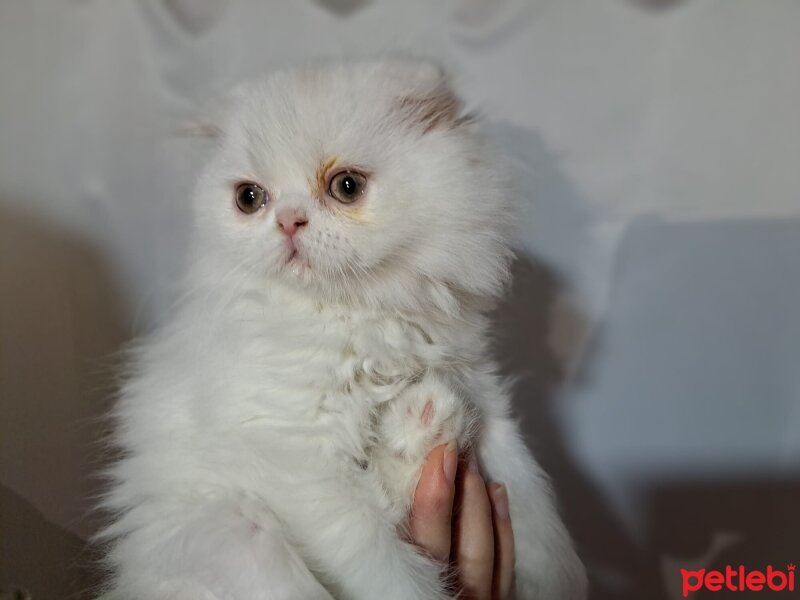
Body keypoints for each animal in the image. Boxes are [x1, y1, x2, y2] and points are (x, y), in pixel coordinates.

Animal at [100, 59, 588, 600]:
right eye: (250, 199)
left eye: (346, 187)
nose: (288, 221)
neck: (359, 318)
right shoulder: (299, 459)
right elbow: (387, 570)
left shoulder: (482, 393)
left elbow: (535, 510)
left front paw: (558, 582)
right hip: (235, 535)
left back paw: (424, 417)